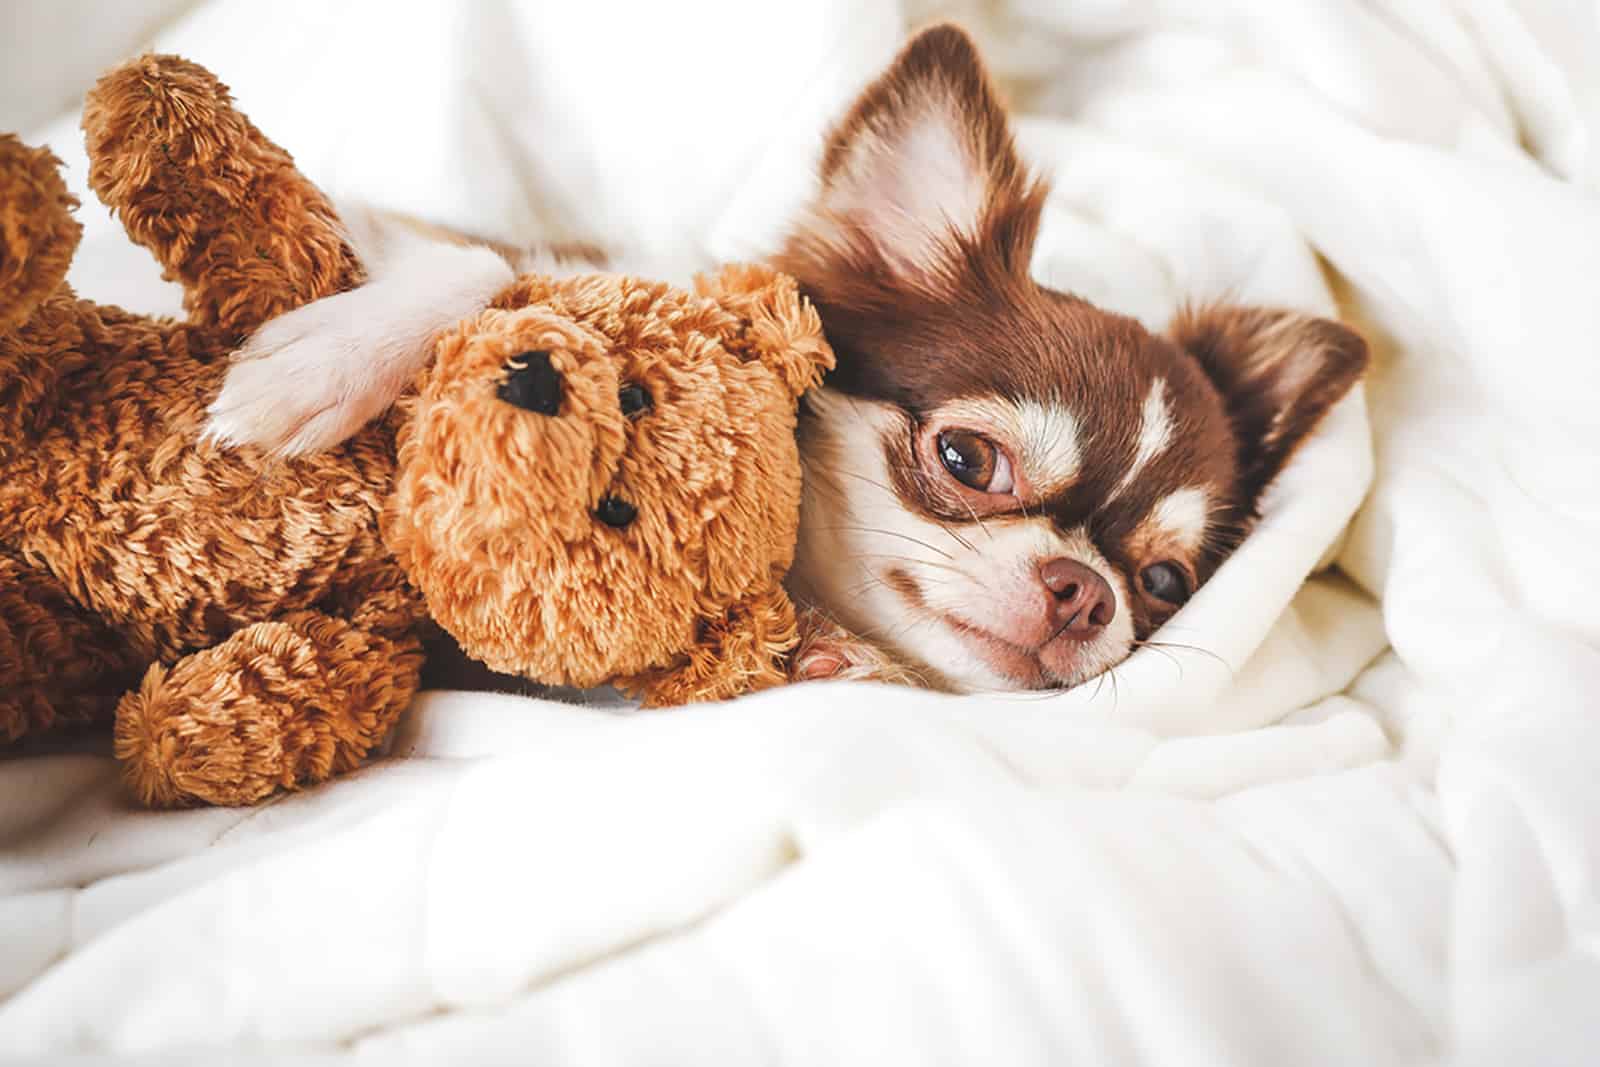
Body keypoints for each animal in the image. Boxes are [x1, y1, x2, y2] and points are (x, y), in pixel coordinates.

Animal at [206, 24, 1369, 697]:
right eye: (967, 461)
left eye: (1165, 582)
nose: (1084, 590)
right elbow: (484, 266)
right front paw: (309, 370)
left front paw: (824, 656)